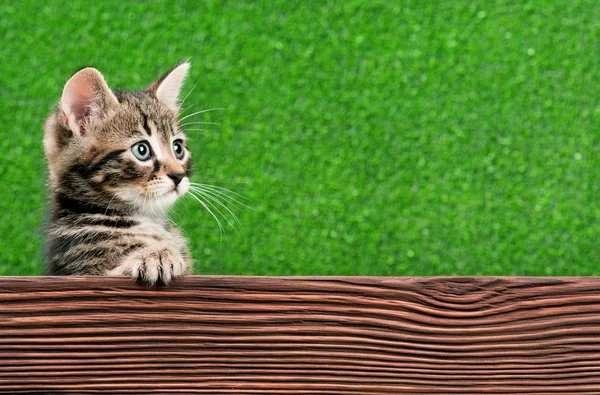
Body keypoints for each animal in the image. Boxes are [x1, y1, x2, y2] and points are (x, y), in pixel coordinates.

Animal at [44, 62, 195, 284]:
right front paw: (156, 255)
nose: (179, 176)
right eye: (142, 150)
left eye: (178, 148)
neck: (145, 217)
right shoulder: (82, 268)